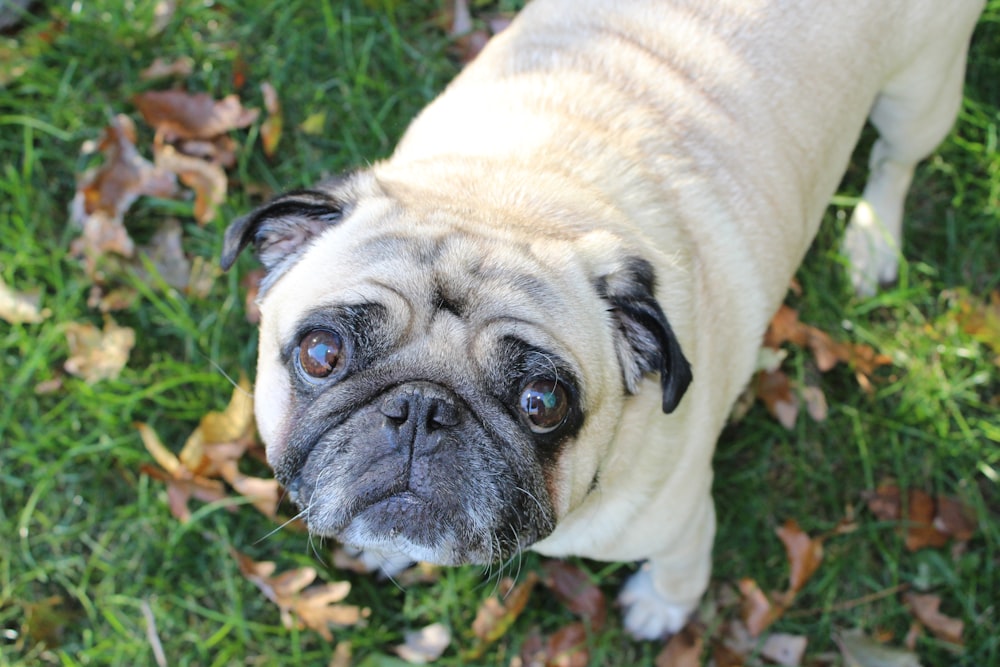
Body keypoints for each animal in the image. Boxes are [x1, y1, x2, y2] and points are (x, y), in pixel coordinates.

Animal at [221, 0, 984, 640]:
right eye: (321, 354)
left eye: (543, 403)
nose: (421, 410)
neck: (511, 195)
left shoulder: (680, 518)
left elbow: (681, 566)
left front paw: (661, 607)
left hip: (922, 92)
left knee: (895, 160)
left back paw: (872, 239)